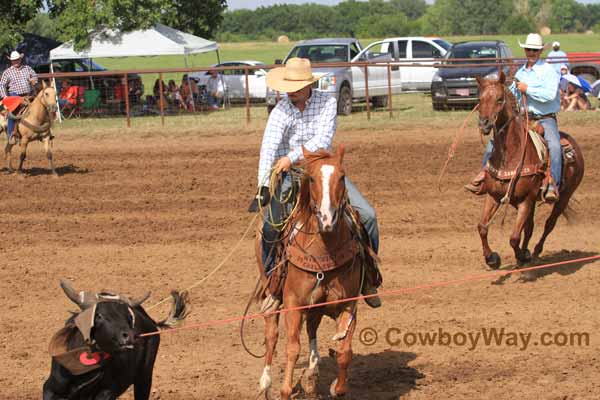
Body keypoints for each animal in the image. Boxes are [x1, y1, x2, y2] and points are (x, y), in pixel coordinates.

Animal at [254, 145, 366, 398]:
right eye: (312, 178)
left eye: (342, 176)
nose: (327, 219)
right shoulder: (294, 304)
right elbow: (292, 348)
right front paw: (286, 390)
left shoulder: (348, 303)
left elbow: (345, 351)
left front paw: (336, 387)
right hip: (271, 291)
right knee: (271, 334)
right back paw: (265, 381)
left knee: (312, 328)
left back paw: (313, 372)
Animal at [476, 73, 584, 270]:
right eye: (480, 99)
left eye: (499, 99)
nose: (484, 124)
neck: (510, 156)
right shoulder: (494, 195)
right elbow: (482, 227)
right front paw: (491, 258)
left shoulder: (526, 200)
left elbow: (513, 237)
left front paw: (521, 256)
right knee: (530, 227)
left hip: (564, 196)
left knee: (549, 224)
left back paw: (535, 252)